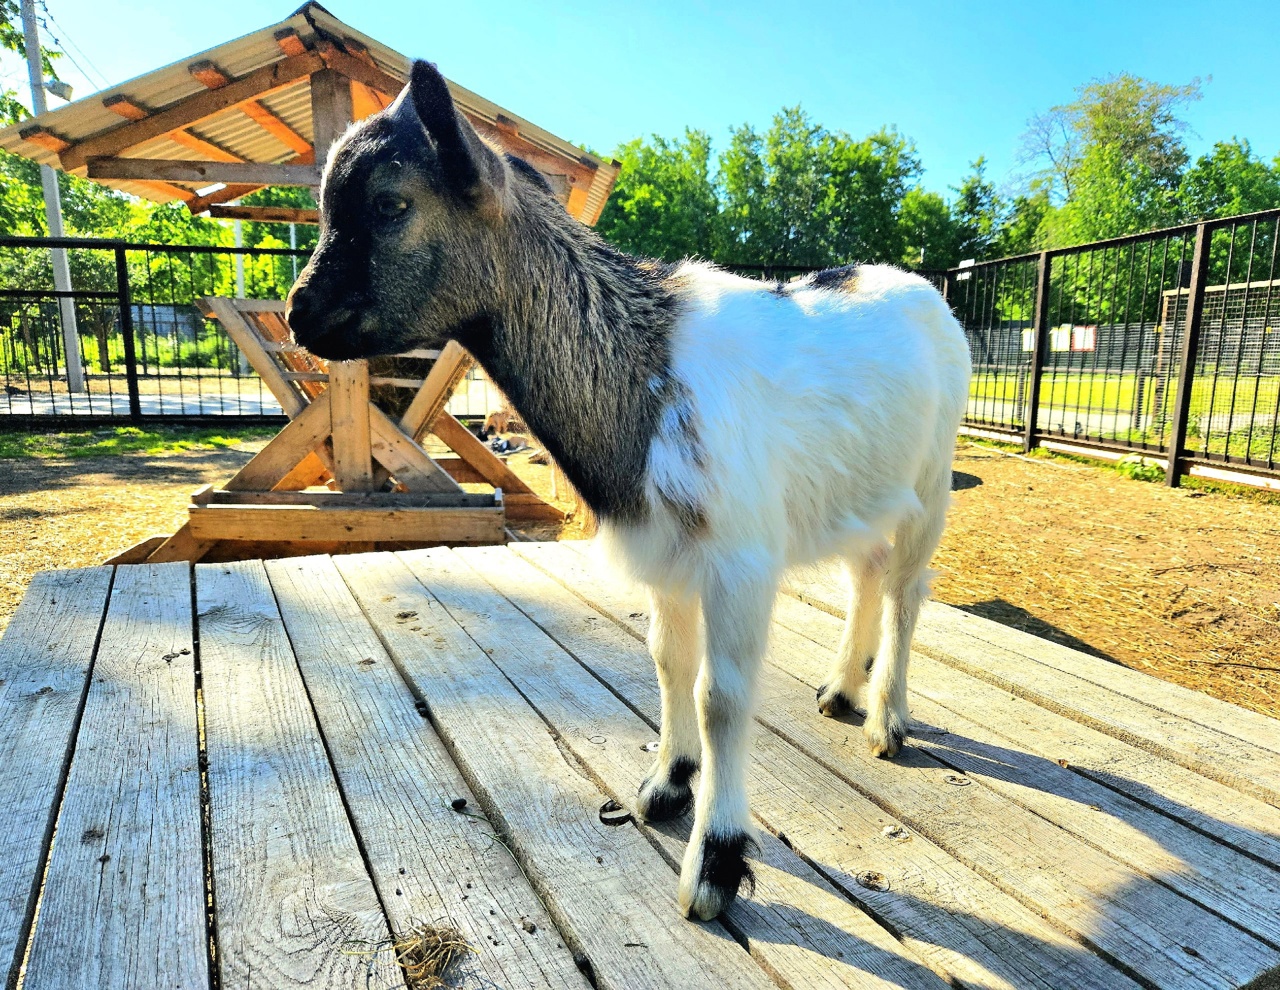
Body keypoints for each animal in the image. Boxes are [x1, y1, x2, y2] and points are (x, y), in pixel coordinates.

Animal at [288, 61, 967, 916]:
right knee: (866, 573)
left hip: (932, 479)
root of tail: (918, 288)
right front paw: (667, 786)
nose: (298, 315)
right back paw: (842, 689)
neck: (644, 371)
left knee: (908, 591)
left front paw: (715, 862)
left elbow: (720, 696)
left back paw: (886, 719)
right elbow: (667, 661)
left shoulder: (740, 557)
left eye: (389, 205)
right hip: (859, 488)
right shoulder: (666, 548)